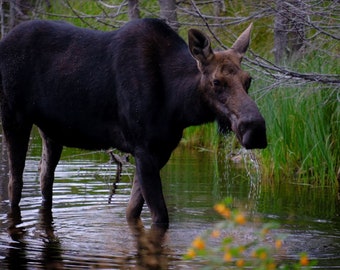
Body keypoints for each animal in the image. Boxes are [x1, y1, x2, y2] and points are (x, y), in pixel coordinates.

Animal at [0, 17, 266, 228]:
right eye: (216, 82)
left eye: (248, 79)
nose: (255, 129)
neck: (179, 105)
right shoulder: (144, 150)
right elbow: (160, 217)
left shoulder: (160, 152)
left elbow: (132, 212)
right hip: (14, 118)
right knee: (15, 182)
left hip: (51, 131)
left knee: (45, 178)